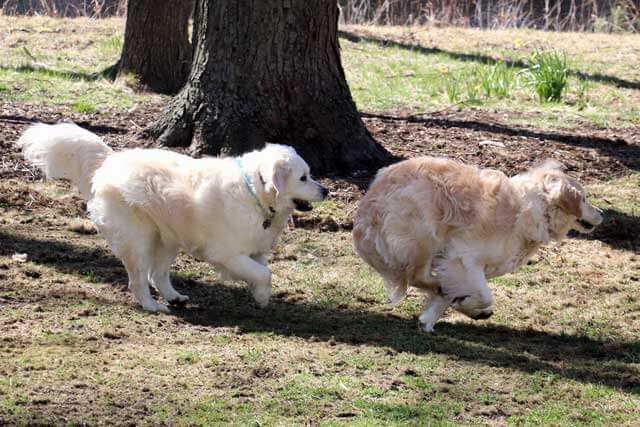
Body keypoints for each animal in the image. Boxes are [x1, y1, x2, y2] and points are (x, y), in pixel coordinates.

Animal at [17, 122, 328, 312]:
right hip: (139, 240)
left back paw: (173, 297)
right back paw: (153, 306)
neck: (254, 192)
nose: (325, 190)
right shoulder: (227, 254)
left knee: (158, 274)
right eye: (303, 177)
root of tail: (110, 160)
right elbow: (264, 273)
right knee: (139, 280)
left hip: (167, 240)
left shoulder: (256, 249)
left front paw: (261, 296)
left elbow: (262, 271)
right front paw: (262, 297)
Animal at [352, 159, 604, 332]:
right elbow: (482, 295)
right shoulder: (462, 259)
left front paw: (431, 319)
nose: (602, 213)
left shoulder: (457, 268)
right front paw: (466, 305)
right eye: (584, 199)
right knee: (416, 276)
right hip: (424, 236)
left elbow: (448, 298)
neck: (534, 206)